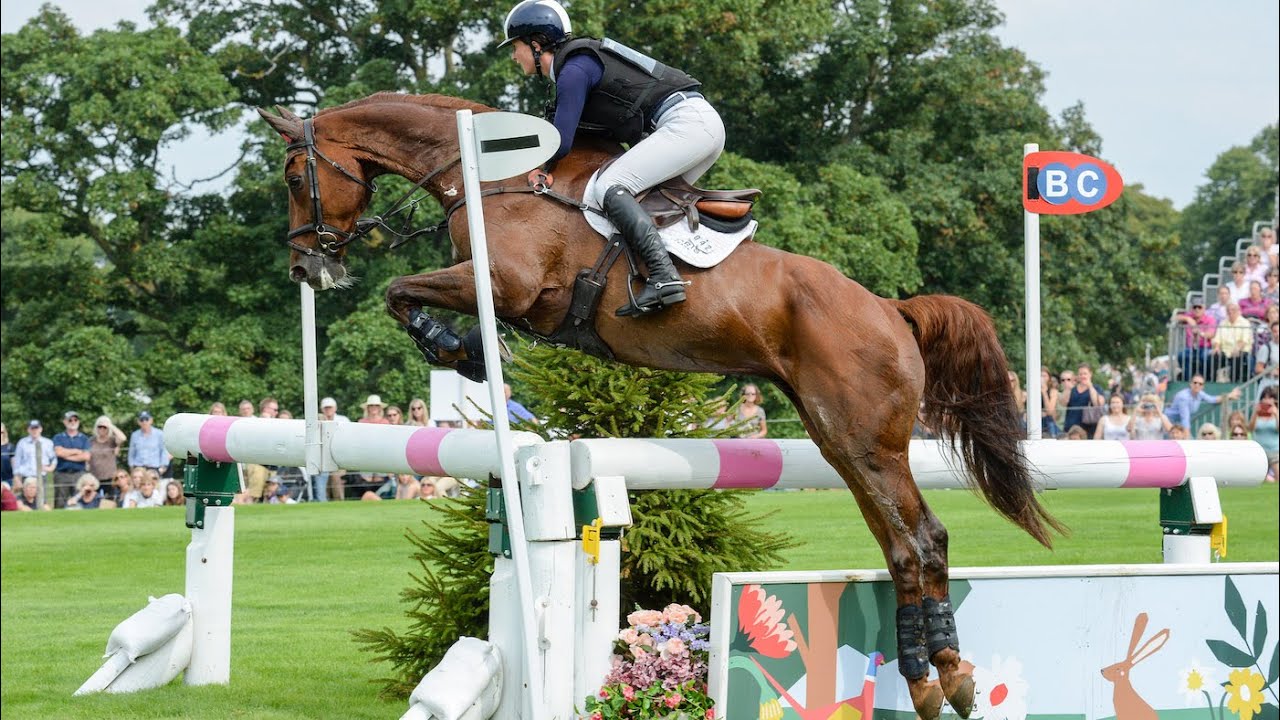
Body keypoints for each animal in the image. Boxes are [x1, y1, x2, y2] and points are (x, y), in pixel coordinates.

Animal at [258, 93, 1064, 719]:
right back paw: (932, 679)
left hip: (865, 441)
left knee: (920, 540)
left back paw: (944, 680)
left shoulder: (507, 286)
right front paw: (467, 352)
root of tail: (893, 311)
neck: (490, 176)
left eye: (296, 175)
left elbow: (402, 293)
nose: (306, 265)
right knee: (903, 546)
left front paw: (458, 350)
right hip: (843, 443)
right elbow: (404, 294)